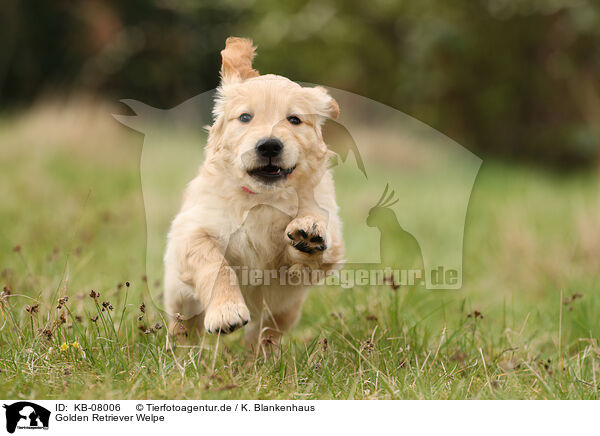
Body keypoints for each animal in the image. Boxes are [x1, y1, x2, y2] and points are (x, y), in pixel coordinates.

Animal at [162, 36, 344, 344]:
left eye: (294, 120)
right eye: (245, 117)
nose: (269, 145)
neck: (261, 199)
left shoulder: (323, 251)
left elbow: (306, 253)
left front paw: (308, 233)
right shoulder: (192, 232)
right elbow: (216, 266)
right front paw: (226, 312)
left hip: (283, 313)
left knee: (264, 334)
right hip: (179, 296)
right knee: (183, 326)